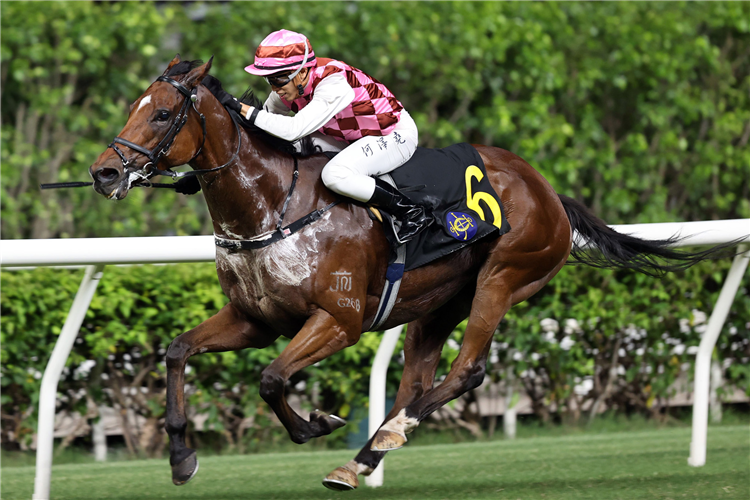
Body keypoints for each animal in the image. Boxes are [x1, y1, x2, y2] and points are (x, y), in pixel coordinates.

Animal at [89, 56, 728, 490]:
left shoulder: (338, 320)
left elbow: (270, 380)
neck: (273, 206)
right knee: (415, 383)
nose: (103, 173)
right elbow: (177, 350)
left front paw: (314, 423)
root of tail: (547, 190)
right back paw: (363, 458)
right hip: (437, 304)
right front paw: (180, 457)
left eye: (163, 114)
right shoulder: (254, 318)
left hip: (504, 277)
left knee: (467, 370)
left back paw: (385, 438)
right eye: (134, 108)